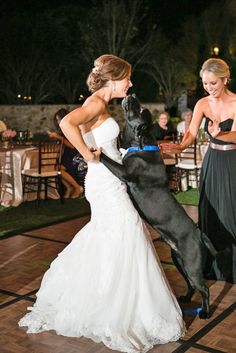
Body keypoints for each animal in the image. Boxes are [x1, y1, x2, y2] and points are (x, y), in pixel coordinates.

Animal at [100, 93, 217, 320]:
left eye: (139, 110)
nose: (132, 94)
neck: (142, 143)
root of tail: (200, 234)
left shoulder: (125, 172)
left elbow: (108, 160)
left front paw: (93, 152)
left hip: (192, 265)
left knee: (204, 288)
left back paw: (205, 312)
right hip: (179, 260)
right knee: (192, 285)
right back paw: (186, 299)